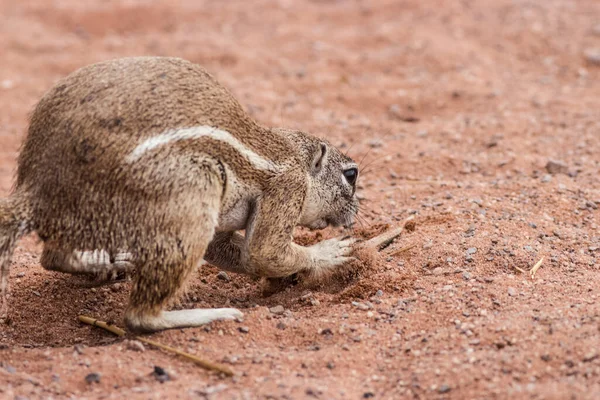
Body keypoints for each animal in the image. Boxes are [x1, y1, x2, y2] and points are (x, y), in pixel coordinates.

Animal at [0, 55, 360, 332]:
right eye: (351, 174)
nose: (356, 212)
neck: (289, 150)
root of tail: (35, 187)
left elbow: (230, 252)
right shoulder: (288, 185)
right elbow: (263, 252)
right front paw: (329, 252)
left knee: (53, 256)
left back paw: (112, 264)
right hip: (192, 189)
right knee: (139, 317)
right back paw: (207, 315)